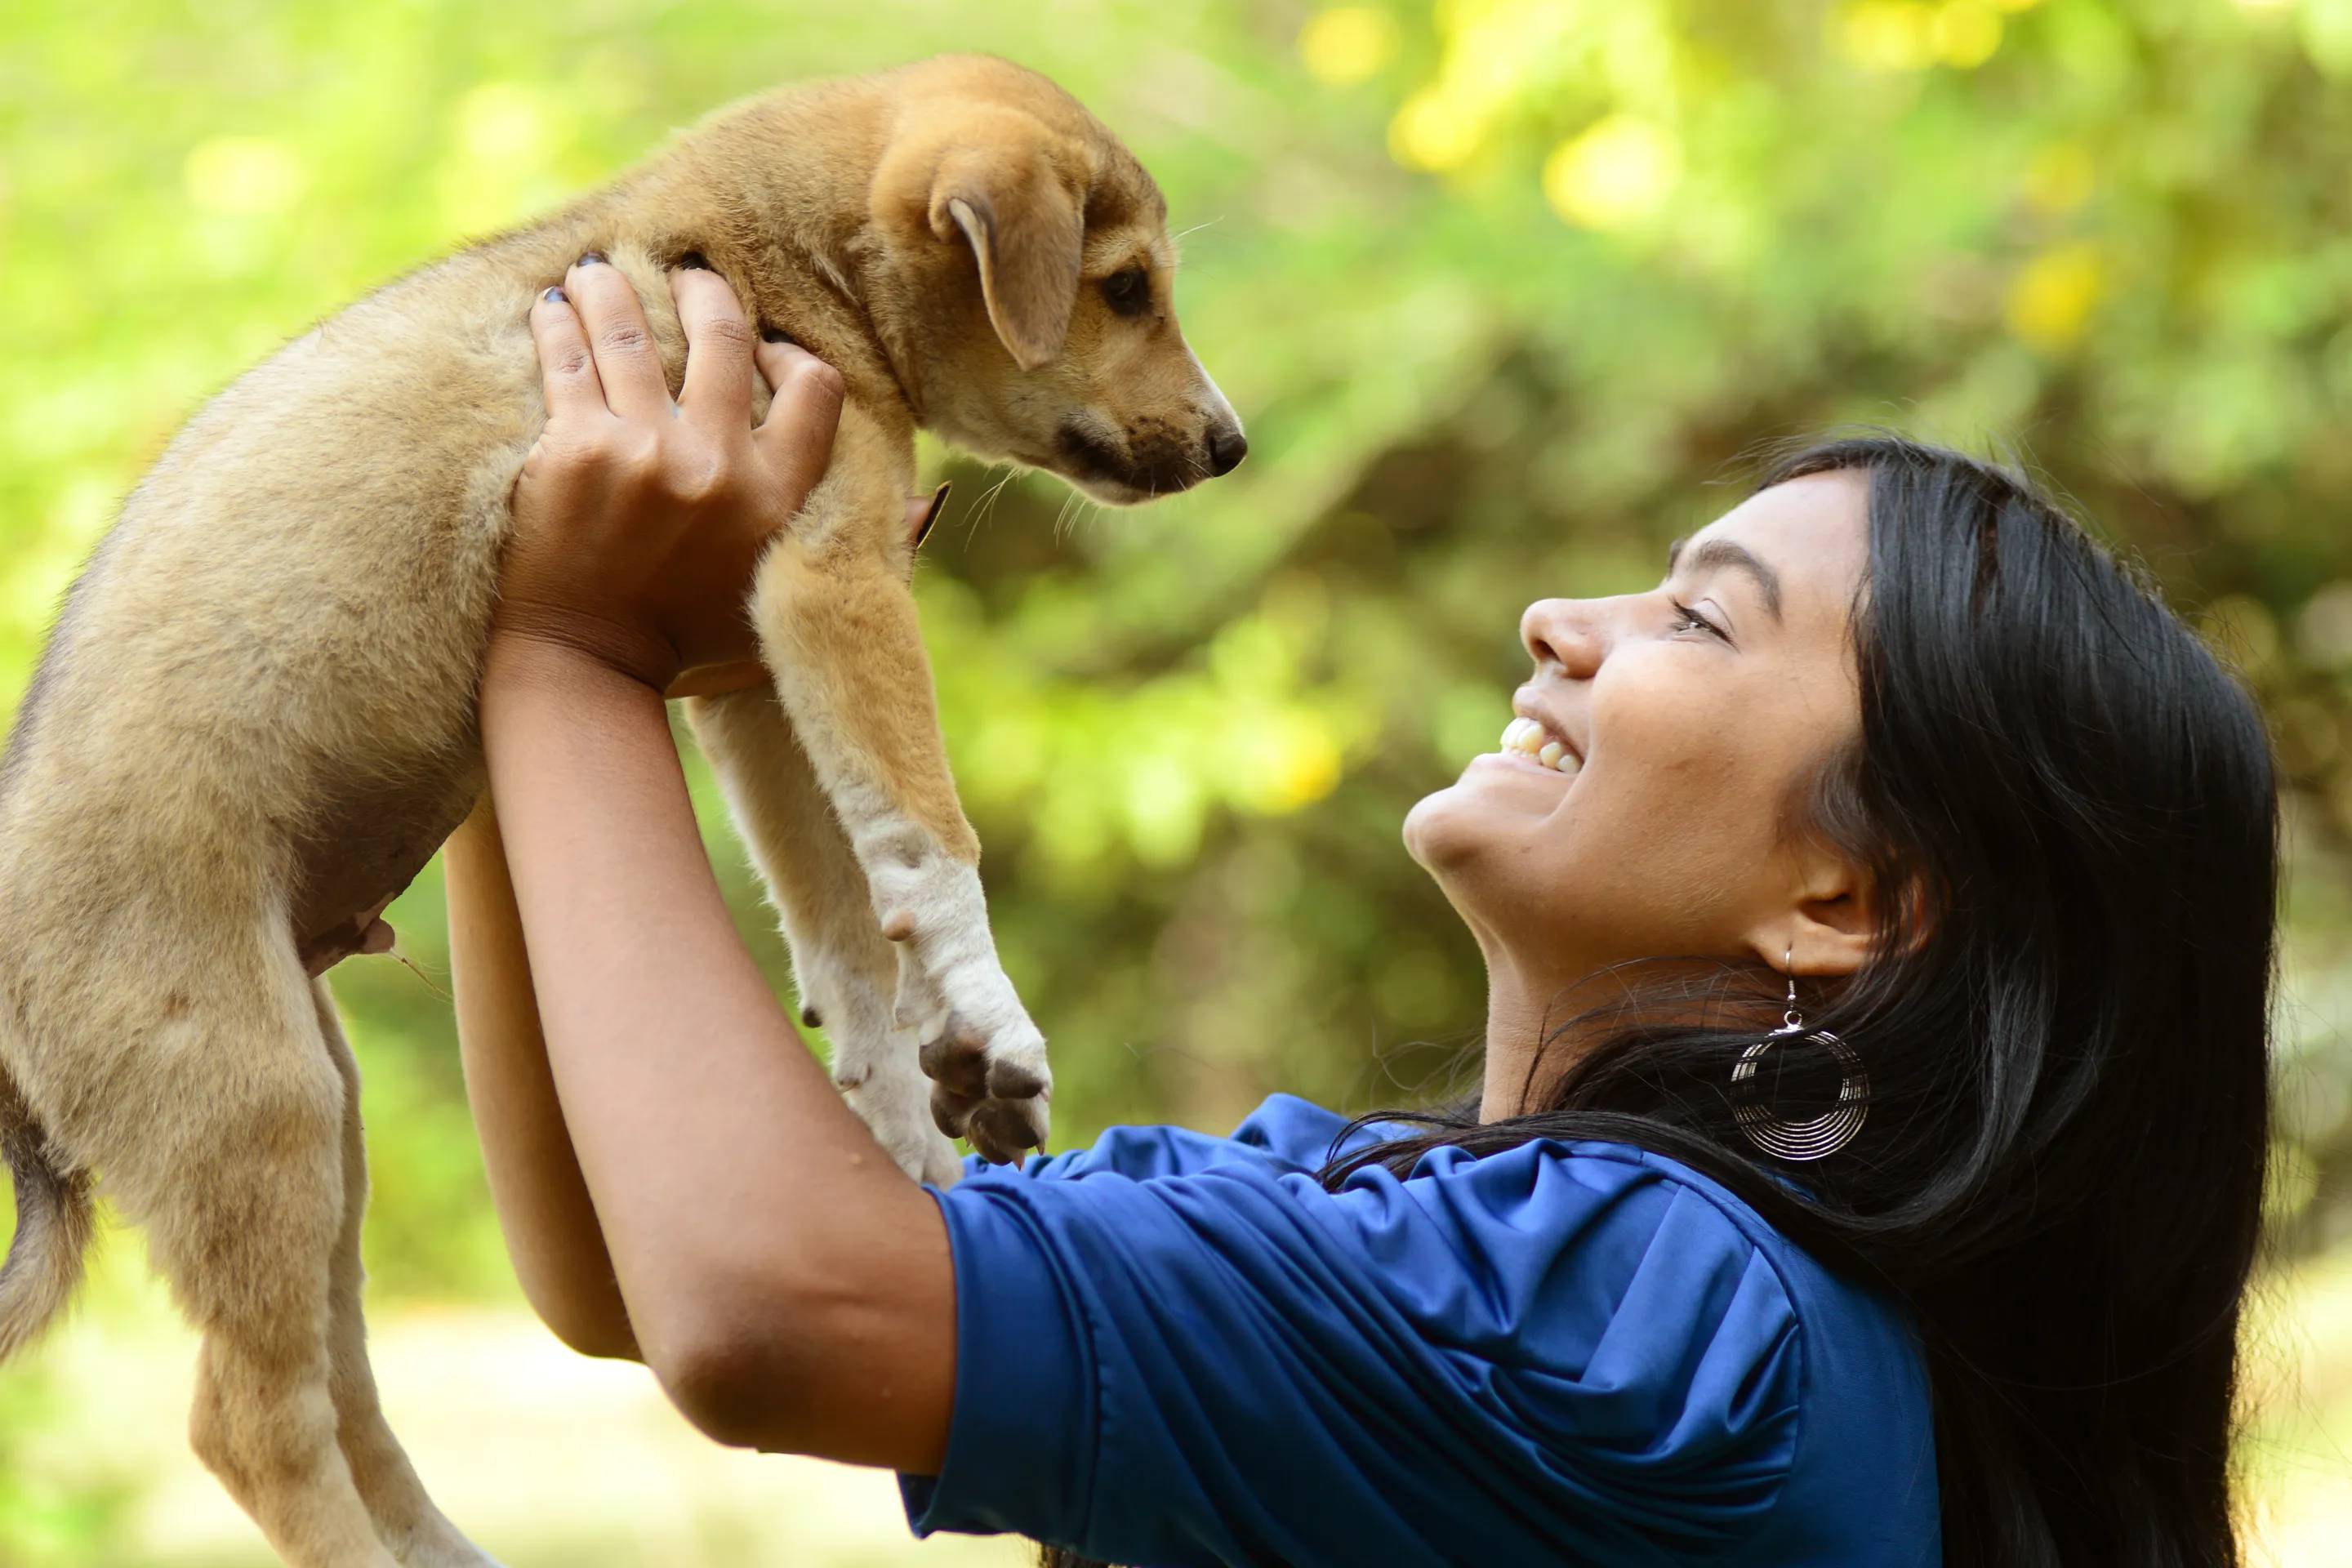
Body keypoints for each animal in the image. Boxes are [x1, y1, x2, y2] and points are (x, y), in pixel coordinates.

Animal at [0, 55, 1251, 1568]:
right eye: (1123, 287)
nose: (1232, 445)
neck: (762, 259)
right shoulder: (832, 586)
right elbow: (929, 843)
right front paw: (990, 1022)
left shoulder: (749, 670)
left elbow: (846, 918)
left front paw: (901, 1126)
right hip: (253, 1107)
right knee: (249, 1427)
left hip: (319, 1127)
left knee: (340, 1395)